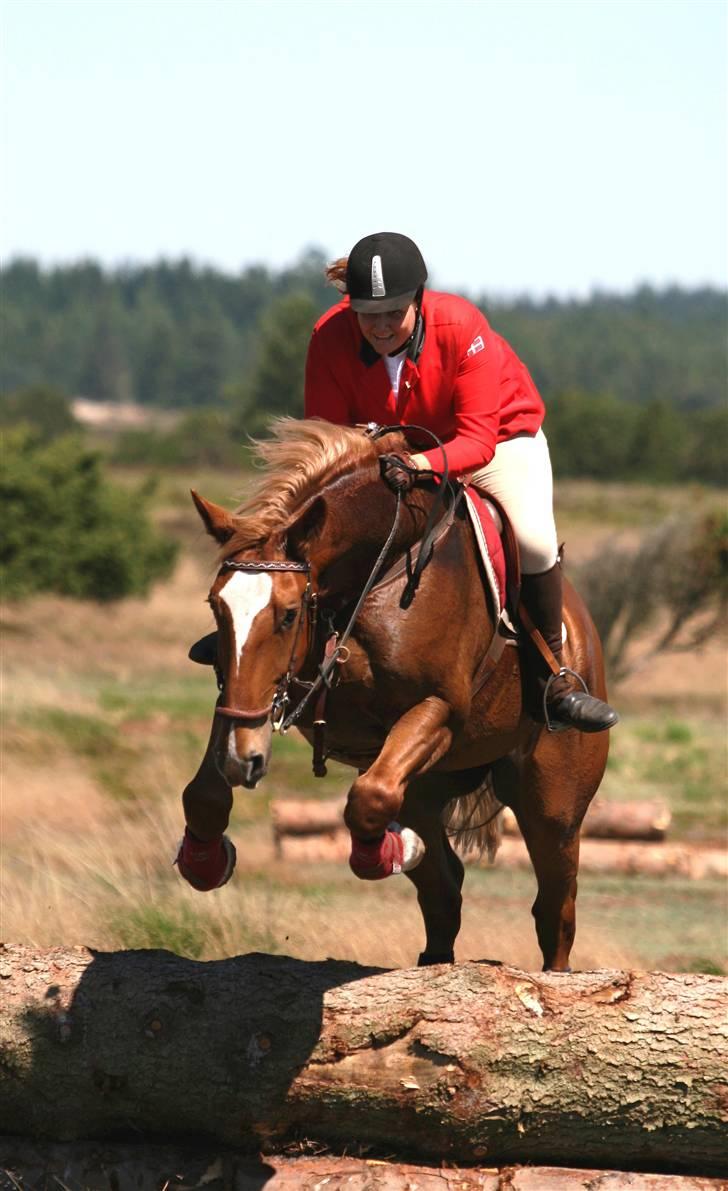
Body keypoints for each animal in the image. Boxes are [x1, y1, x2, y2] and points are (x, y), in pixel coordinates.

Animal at [179, 414, 610, 971]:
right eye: (216, 607)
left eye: (289, 615)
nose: (244, 761)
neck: (372, 570)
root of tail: (583, 636)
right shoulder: (242, 701)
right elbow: (204, 792)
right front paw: (204, 861)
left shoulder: (438, 708)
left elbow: (370, 798)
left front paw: (396, 851)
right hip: (428, 788)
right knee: (444, 893)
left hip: (552, 807)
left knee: (554, 909)